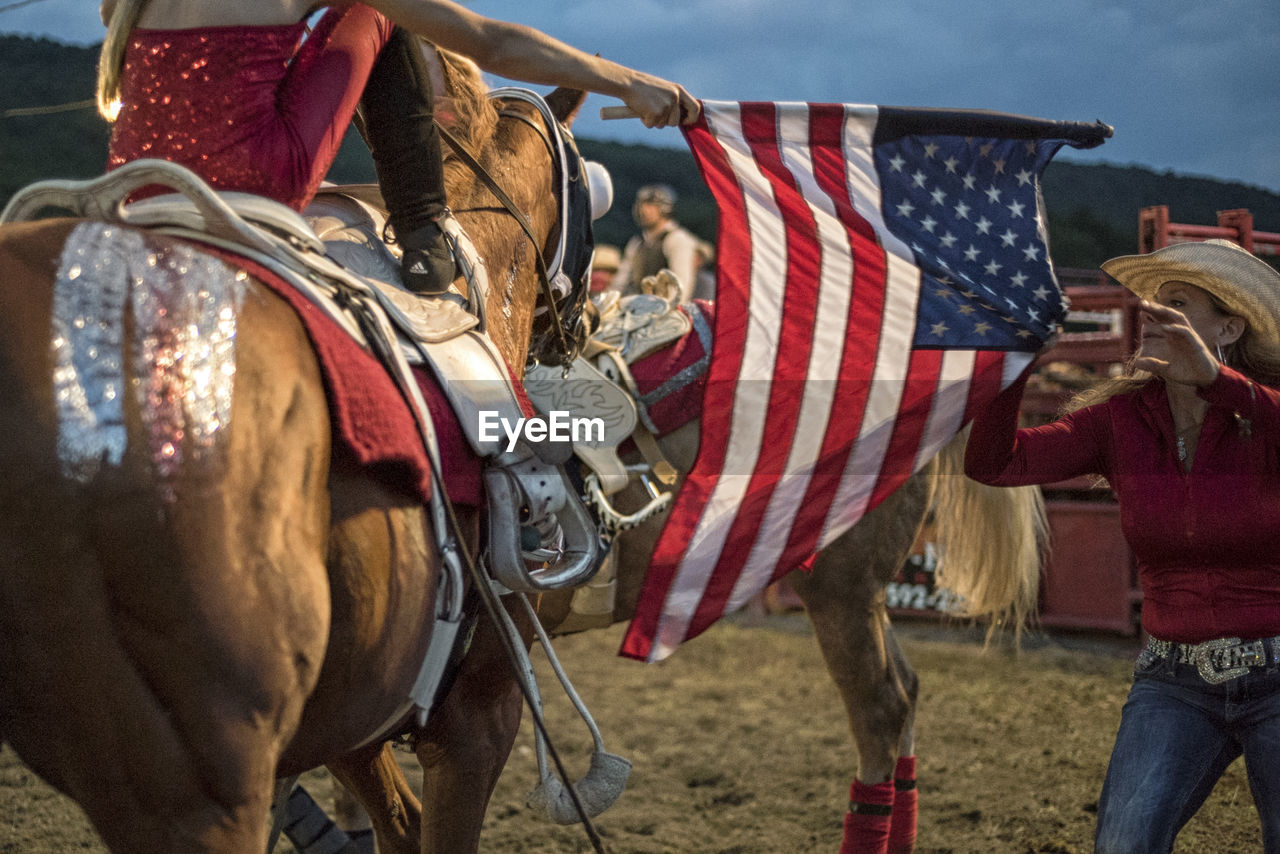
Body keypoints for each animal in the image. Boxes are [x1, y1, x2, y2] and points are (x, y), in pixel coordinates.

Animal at [0, 50, 591, 850]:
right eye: (587, 184)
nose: (580, 326)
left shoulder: (348, 716)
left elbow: (394, 822)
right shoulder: (475, 722)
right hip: (200, 792)